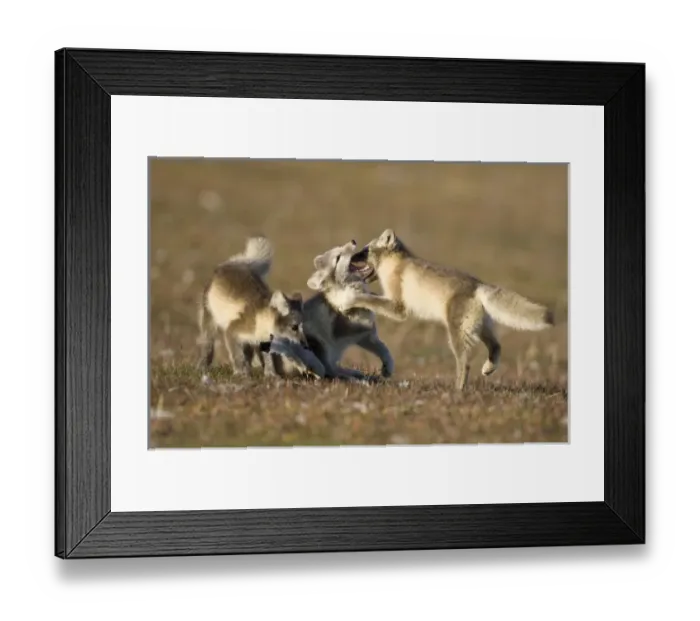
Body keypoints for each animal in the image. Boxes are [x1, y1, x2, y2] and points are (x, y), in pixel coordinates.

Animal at [197, 236, 308, 381]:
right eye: (294, 327)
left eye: (303, 327)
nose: (305, 345)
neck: (260, 318)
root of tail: (231, 264)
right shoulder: (232, 331)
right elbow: (237, 356)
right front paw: (240, 373)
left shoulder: (264, 341)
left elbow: (268, 359)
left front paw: (271, 374)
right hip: (210, 320)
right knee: (207, 344)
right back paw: (203, 367)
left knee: (248, 354)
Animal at [298, 239, 394, 382]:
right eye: (338, 257)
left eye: (339, 247)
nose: (353, 241)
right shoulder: (349, 330)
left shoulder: (366, 337)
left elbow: (384, 348)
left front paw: (388, 368)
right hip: (319, 346)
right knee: (330, 372)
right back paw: (355, 379)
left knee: (334, 368)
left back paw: (357, 374)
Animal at [341, 229, 555, 390]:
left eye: (365, 250)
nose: (351, 257)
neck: (395, 265)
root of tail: (478, 286)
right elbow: (372, 297)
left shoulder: (398, 307)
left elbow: (369, 299)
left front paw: (350, 299)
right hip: (480, 327)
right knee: (496, 345)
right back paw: (488, 369)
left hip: (457, 334)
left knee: (466, 364)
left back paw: (458, 390)